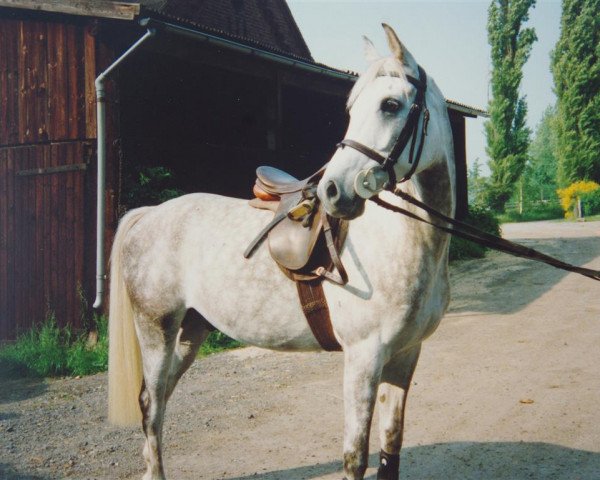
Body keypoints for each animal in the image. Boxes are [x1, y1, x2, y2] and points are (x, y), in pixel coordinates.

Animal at [108, 23, 454, 480]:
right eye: (353, 108)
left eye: (391, 105)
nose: (332, 191)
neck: (406, 244)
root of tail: (149, 215)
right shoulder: (364, 356)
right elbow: (354, 456)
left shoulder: (405, 356)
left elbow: (390, 448)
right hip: (156, 329)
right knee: (150, 406)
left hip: (189, 331)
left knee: (159, 400)